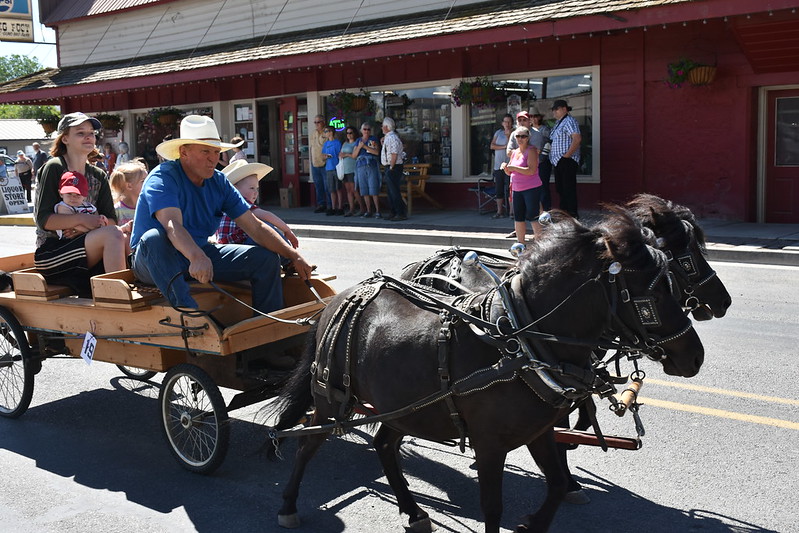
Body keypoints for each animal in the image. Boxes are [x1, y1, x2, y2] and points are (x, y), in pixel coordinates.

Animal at [267, 208, 705, 533]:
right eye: (652, 294)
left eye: (677, 278)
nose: (695, 357)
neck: (520, 344)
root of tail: (336, 300)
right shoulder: (490, 444)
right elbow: (492, 507)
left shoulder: (539, 431)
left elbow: (556, 484)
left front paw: (533, 523)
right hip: (332, 398)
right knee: (309, 442)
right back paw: (287, 504)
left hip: (403, 406)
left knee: (384, 446)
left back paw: (413, 511)